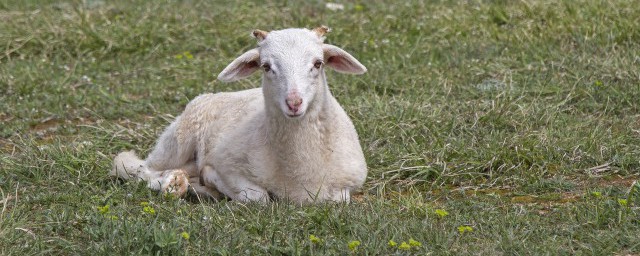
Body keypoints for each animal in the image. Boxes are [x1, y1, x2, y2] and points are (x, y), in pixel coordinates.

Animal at [112, 25, 368, 203]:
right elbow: (259, 197)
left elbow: (340, 199)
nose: (294, 103)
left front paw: (207, 186)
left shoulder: (348, 185)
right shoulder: (228, 164)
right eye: (266, 66)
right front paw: (211, 180)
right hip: (178, 139)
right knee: (139, 169)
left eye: (318, 63)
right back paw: (174, 184)